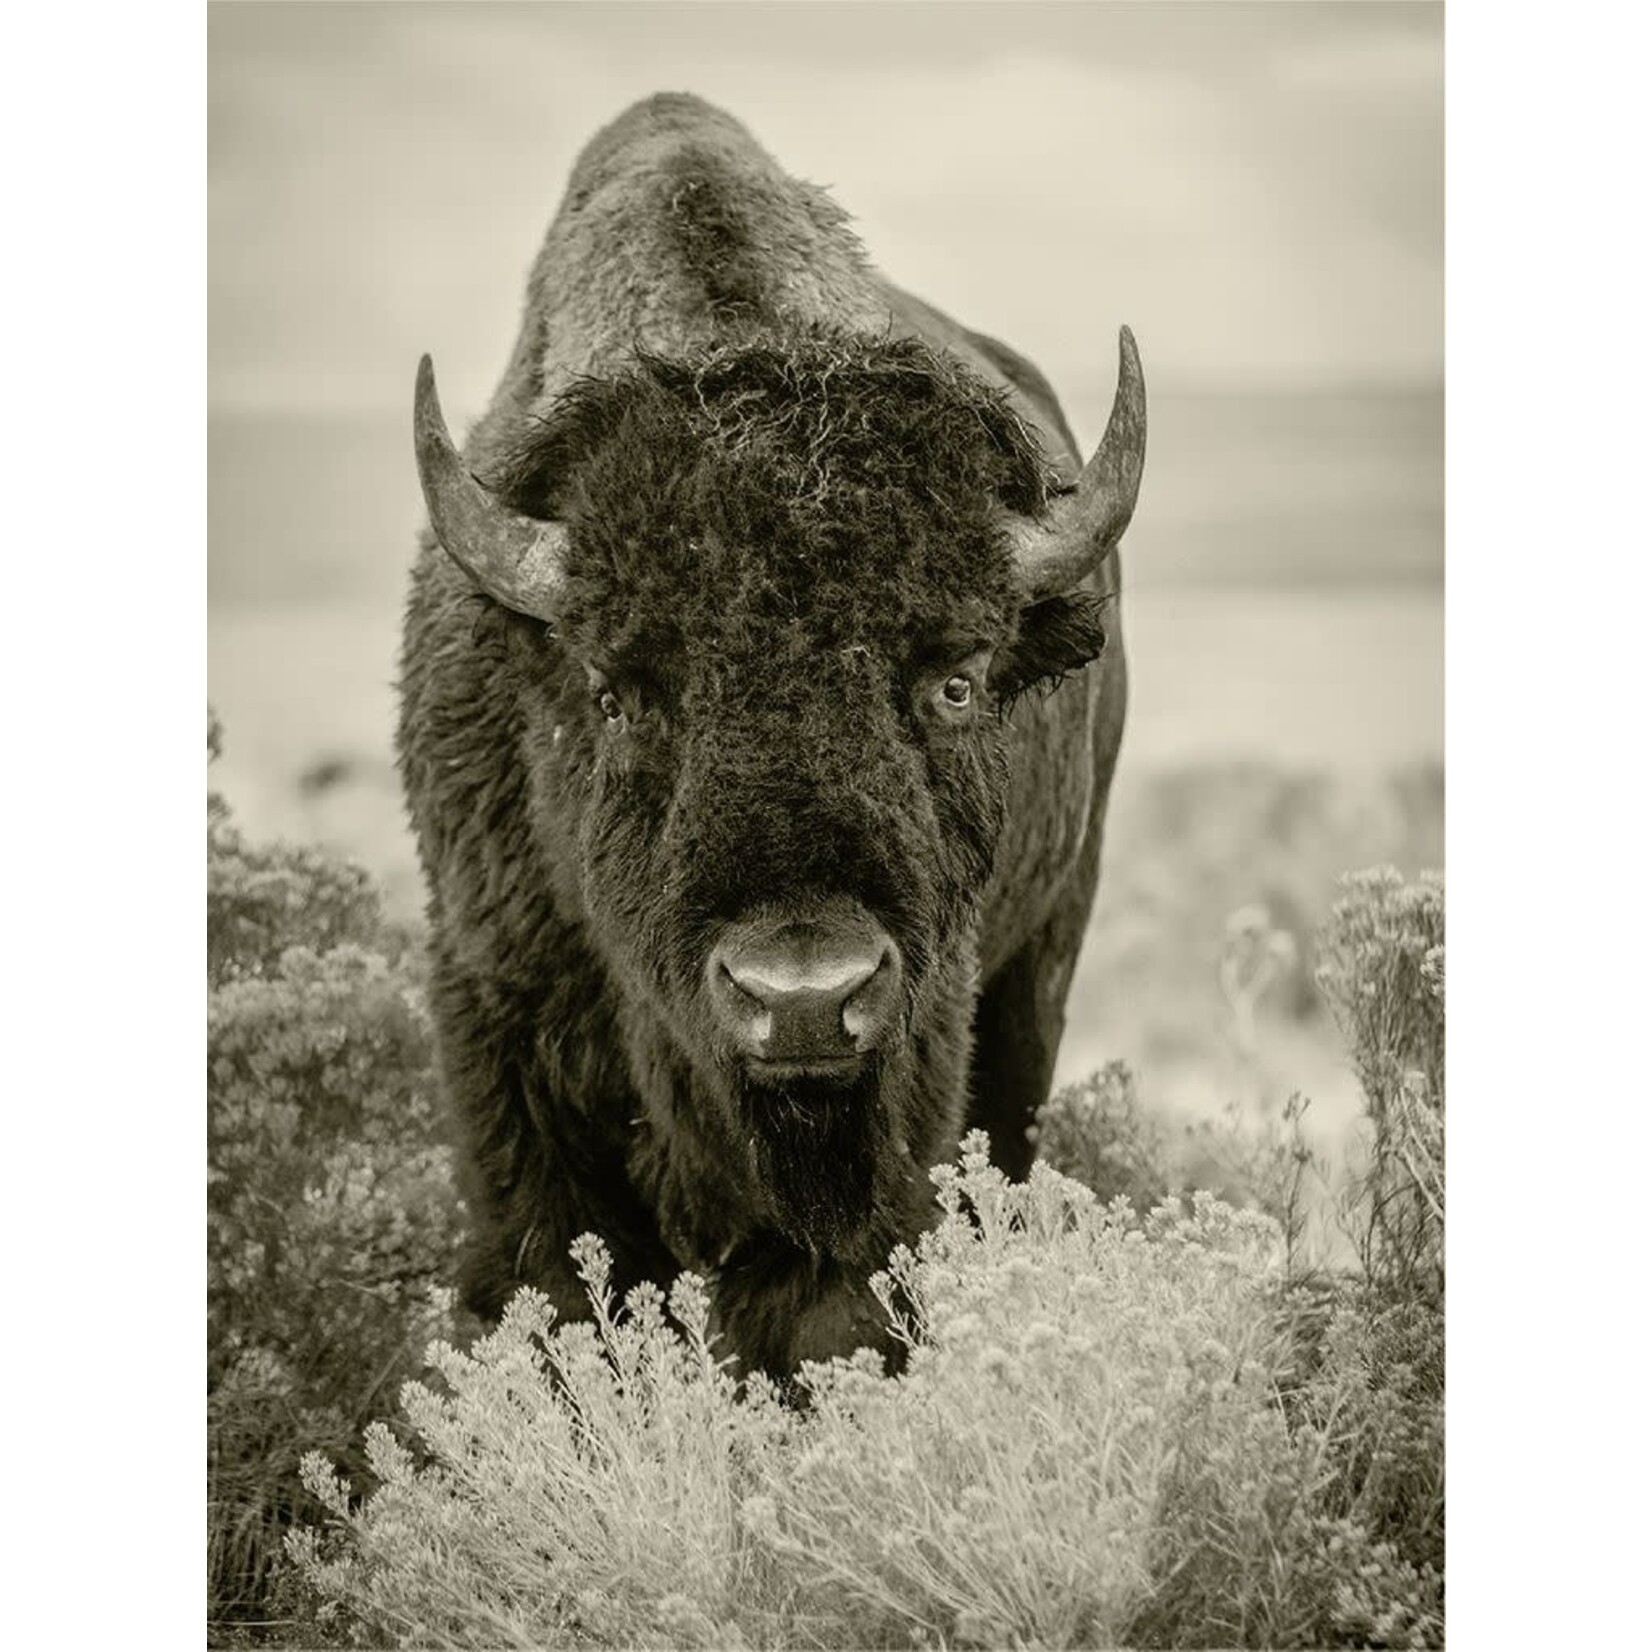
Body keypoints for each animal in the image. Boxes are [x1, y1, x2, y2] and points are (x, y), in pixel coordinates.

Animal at [398, 93, 1146, 1375]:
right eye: (614, 690)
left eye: (955, 680)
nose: (800, 996)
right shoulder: (499, 1017)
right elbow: (556, 1287)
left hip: (1043, 957)